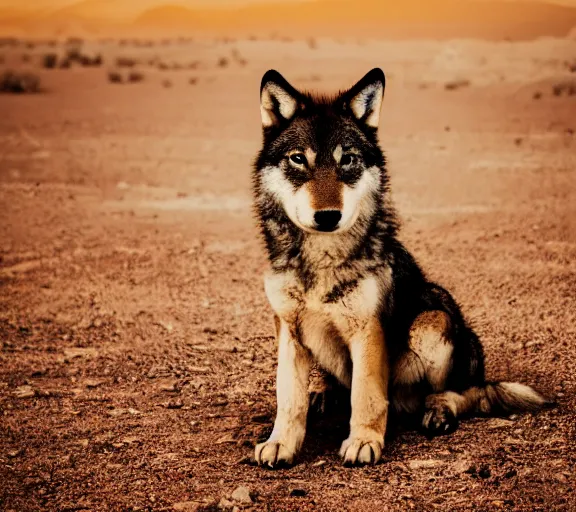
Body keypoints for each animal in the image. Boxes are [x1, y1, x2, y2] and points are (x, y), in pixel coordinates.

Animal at [253, 68, 548, 468]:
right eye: (298, 159)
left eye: (348, 160)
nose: (328, 217)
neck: (322, 259)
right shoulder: (288, 329)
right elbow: (288, 399)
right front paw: (280, 443)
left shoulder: (367, 331)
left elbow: (366, 396)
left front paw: (363, 441)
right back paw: (325, 394)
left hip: (433, 318)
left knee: (466, 394)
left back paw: (438, 410)